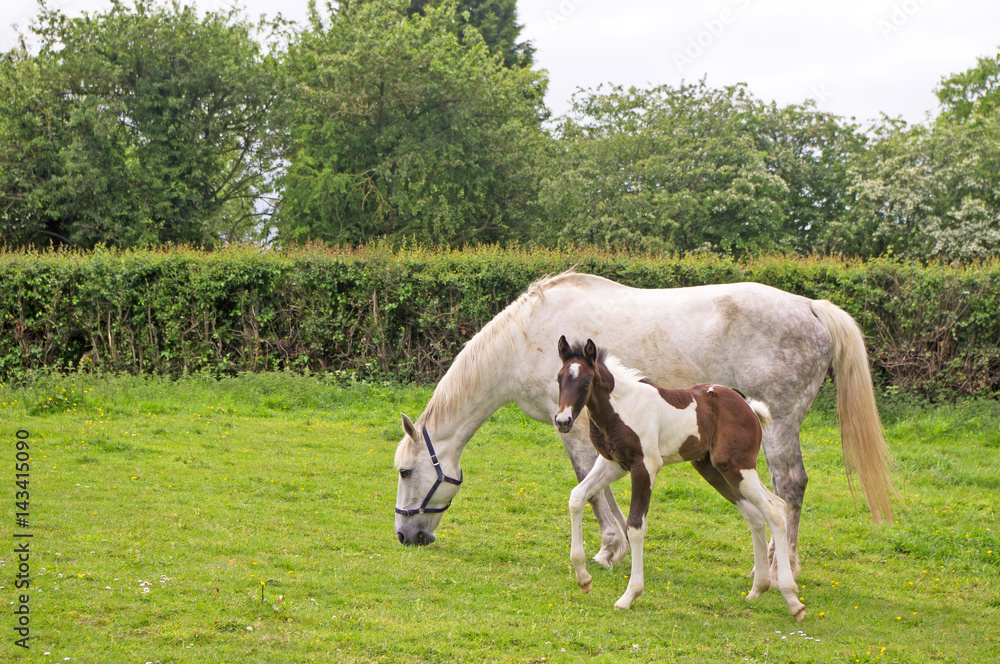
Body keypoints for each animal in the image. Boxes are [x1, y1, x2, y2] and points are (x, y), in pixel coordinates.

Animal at [395, 271, 895, 577]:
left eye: (404, 471)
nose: (405, 536)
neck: (526, 339)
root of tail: (811, 307)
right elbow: (602, 485)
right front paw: (615, 546)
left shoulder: (572, 428)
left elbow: (590, 486)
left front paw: (607, 548)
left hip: (780, 424)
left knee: (789, 485)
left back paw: (780, 564)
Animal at [555, 336, 805, 620]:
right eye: (559, 379)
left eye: (586, 382)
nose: (562, 421)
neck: (622, 408)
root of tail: (749, 407)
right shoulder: (612, 464)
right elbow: (577, 497)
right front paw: (583, 578)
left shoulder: (645, 467)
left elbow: (635, 526)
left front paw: (629, 595)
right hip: (715, 469)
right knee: (757, 514)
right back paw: (757, 589)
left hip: (739, 468)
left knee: (774, 509)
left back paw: (791, 598)